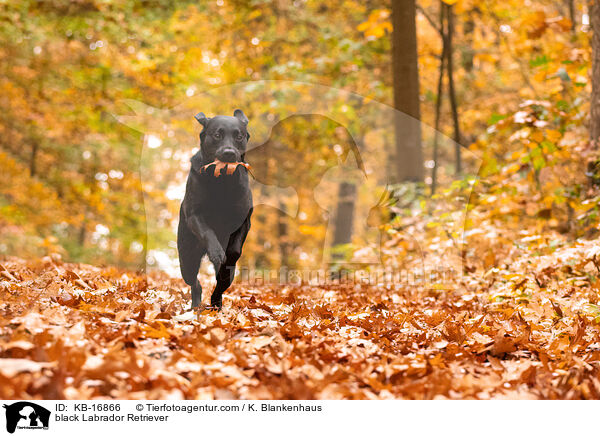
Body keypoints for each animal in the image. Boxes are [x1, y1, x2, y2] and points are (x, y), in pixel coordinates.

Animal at [178, 110, 253, 308]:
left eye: (239, 136)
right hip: (186, 260)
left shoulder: (244, 221)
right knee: (195, 283)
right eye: (217, 135)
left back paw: (216, 304)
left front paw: (227, 257)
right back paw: (196, 306)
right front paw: (217, 252)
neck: (223, 181)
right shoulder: (194, 215)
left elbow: (234, 252)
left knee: (221, 285)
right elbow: (207, 231)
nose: (229, 152)